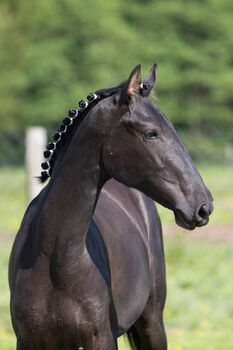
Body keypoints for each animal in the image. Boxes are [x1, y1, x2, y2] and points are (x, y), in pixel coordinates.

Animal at [8, 63, 213, 350]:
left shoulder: (102, 339)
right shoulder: (27, 341)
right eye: (151, 133)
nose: (203, 205)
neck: (54, 259)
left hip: (153, 322)